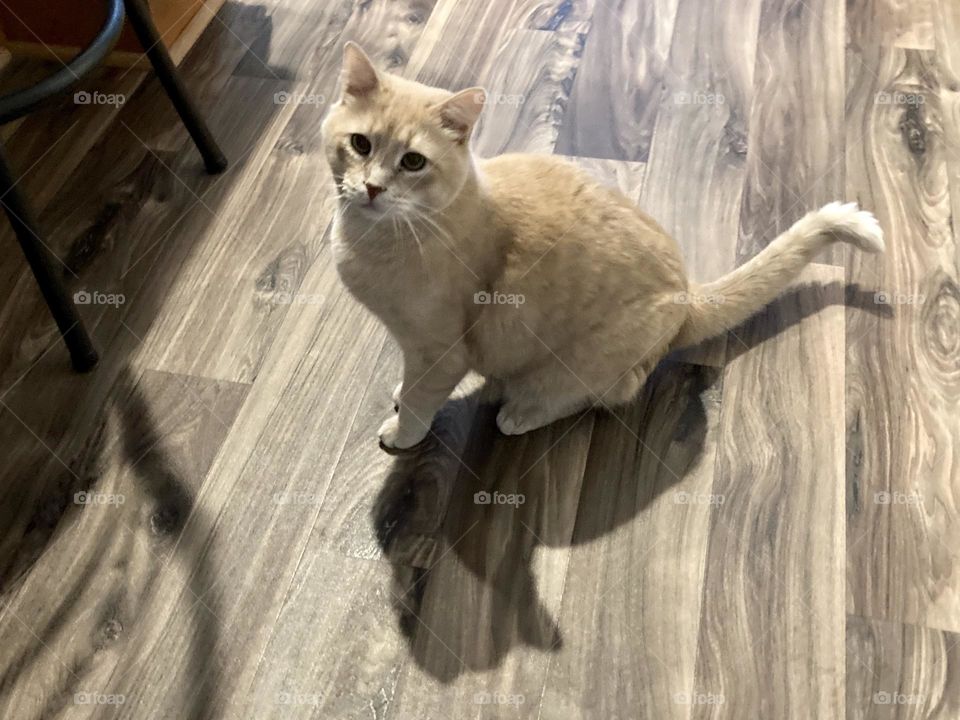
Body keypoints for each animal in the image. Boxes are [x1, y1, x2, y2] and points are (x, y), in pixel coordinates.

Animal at [324, 42, 884, 450]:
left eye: (413, 162)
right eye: (361, 145)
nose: (372, 188)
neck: (370, 240)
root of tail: (687, 294)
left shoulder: (440, 350)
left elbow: (423, 398)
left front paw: (402, 434)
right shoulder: (415, 348)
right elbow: (411, 385)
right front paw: (400, 394)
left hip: (581, 366)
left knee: (604, 392)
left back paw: (521, 412)